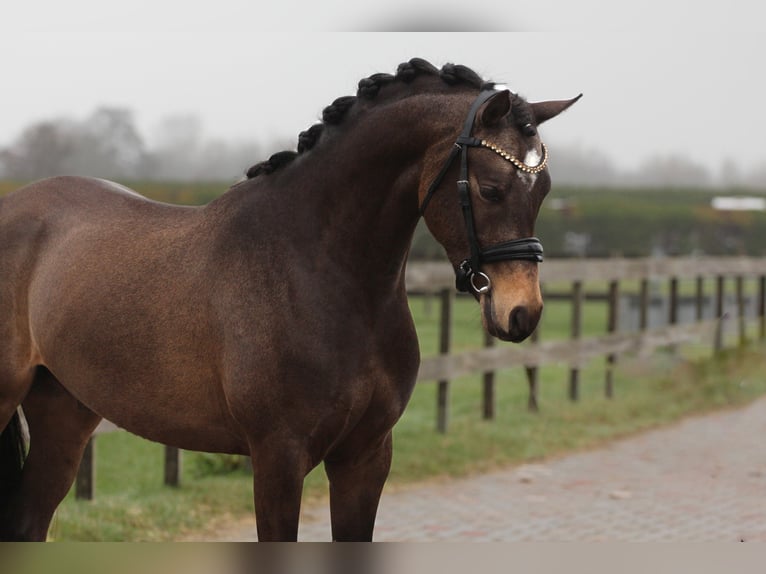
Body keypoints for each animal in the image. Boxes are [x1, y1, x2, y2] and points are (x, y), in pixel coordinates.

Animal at [0, 58, 578, 541]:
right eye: (490, 188)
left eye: (545, 188)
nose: (521, 312)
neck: (320, 270)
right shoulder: (278, 457)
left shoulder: (366, 455)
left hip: (65, 410)